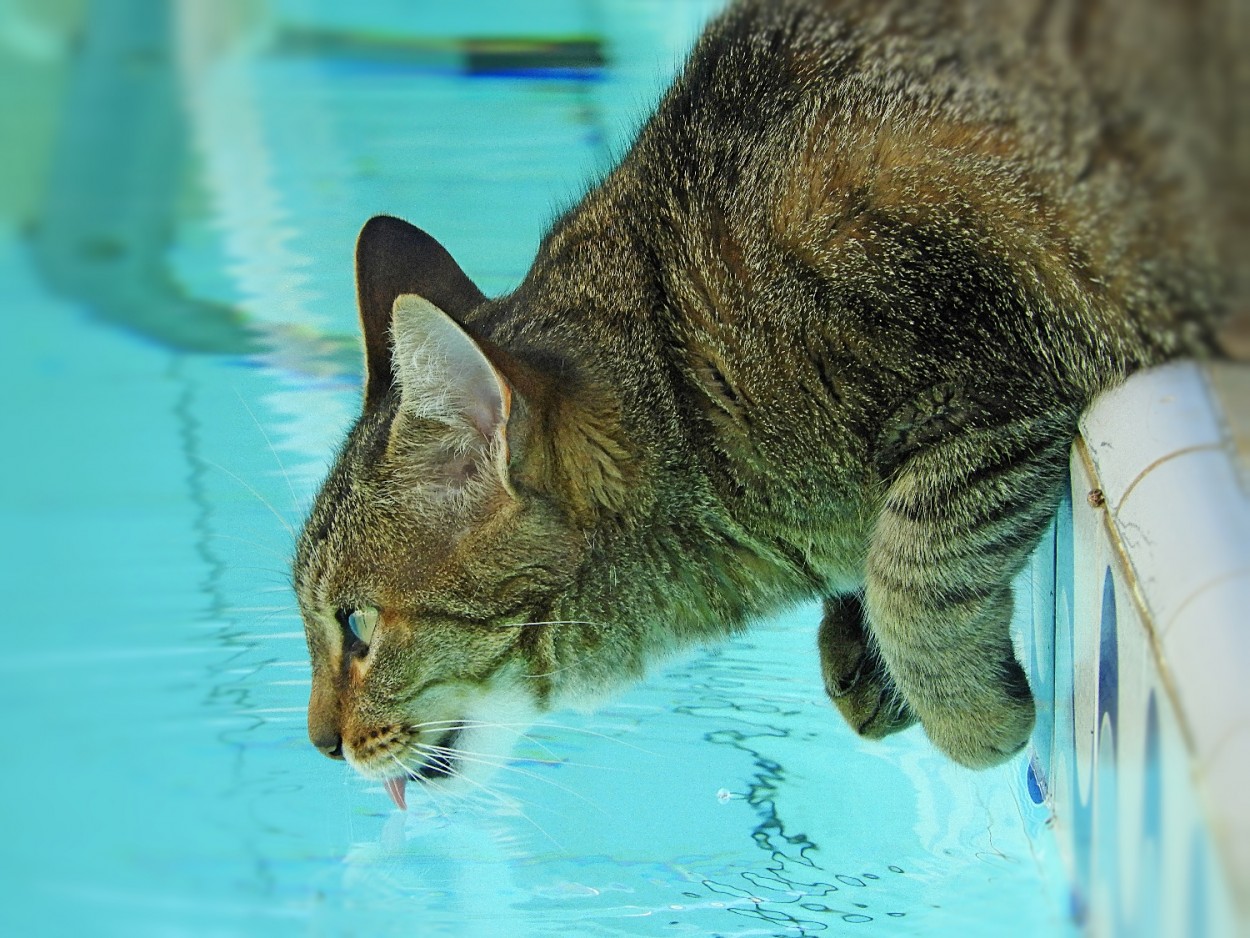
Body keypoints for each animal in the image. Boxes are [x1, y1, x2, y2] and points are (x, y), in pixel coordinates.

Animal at [290, 0, 1230, 810]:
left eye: (358, 625)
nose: (319, 744)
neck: (686, 370)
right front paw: (868, 657)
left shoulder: (997, 361)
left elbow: (911, 566)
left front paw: (964, 711)